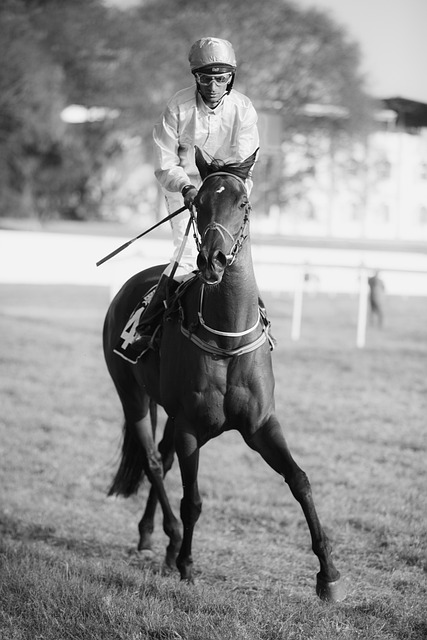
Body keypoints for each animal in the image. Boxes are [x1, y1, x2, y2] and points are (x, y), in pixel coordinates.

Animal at [103, 147, 345, 601]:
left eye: (243, 203)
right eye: (198, 204)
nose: (212, 259)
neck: (227, 339)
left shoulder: (262, 424)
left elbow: (300, 480)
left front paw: (329, 575)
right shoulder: (190, 428)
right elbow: (192, 501)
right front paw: (187, 565)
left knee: (161, 459)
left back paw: (153, 537)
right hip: (131, 393)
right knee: (153, 462)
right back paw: (168, 539)